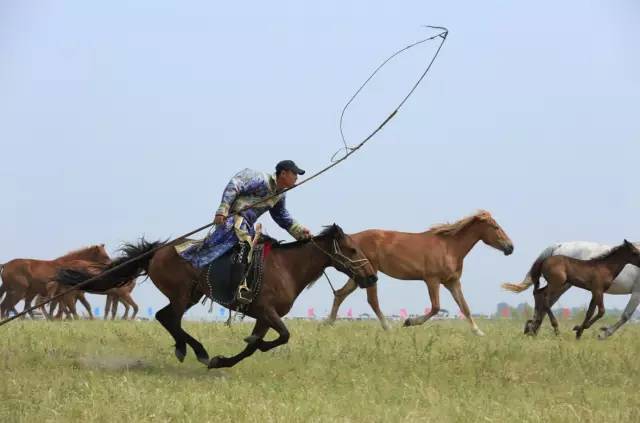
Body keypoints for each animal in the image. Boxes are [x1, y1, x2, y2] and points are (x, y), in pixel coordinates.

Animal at [56, 224, 380, 370]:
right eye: (352, 249)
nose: (372, 276)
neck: (287, 267)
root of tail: (158, 250)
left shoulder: (263, 317)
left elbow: (255, 346)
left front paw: (223, 360)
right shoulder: (267, 311)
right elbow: (282, 336)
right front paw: (231, 353)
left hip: (190, 294)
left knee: (167, 318)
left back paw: (188, 349)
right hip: (182, 293)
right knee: (168, 317)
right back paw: (194, 350)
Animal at [324, 210, 516, 336]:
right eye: (495, 227)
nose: (510, 248)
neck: (449, 248)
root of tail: (350, 238)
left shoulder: (452, 282)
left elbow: (465, 307)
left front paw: (478, 332)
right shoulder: (432, 280)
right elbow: (436, 307)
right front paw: (409, 322)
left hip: (359, 276)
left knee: (340, 294)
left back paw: (329, 324)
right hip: (369, 274)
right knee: (372, 301)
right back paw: (388, 328)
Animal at [502, 240, 640, 340]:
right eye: (635, 252)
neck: (604, 267)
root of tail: (556, 247)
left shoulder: (595, 291)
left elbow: (590, 312)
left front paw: (579, 331)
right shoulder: (600, 290)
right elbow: (608, 313)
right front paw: (601, 333)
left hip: (559, 284)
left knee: (539, 295)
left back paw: (532, 329)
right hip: (560, 284)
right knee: (544, 298)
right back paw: (551, 329)